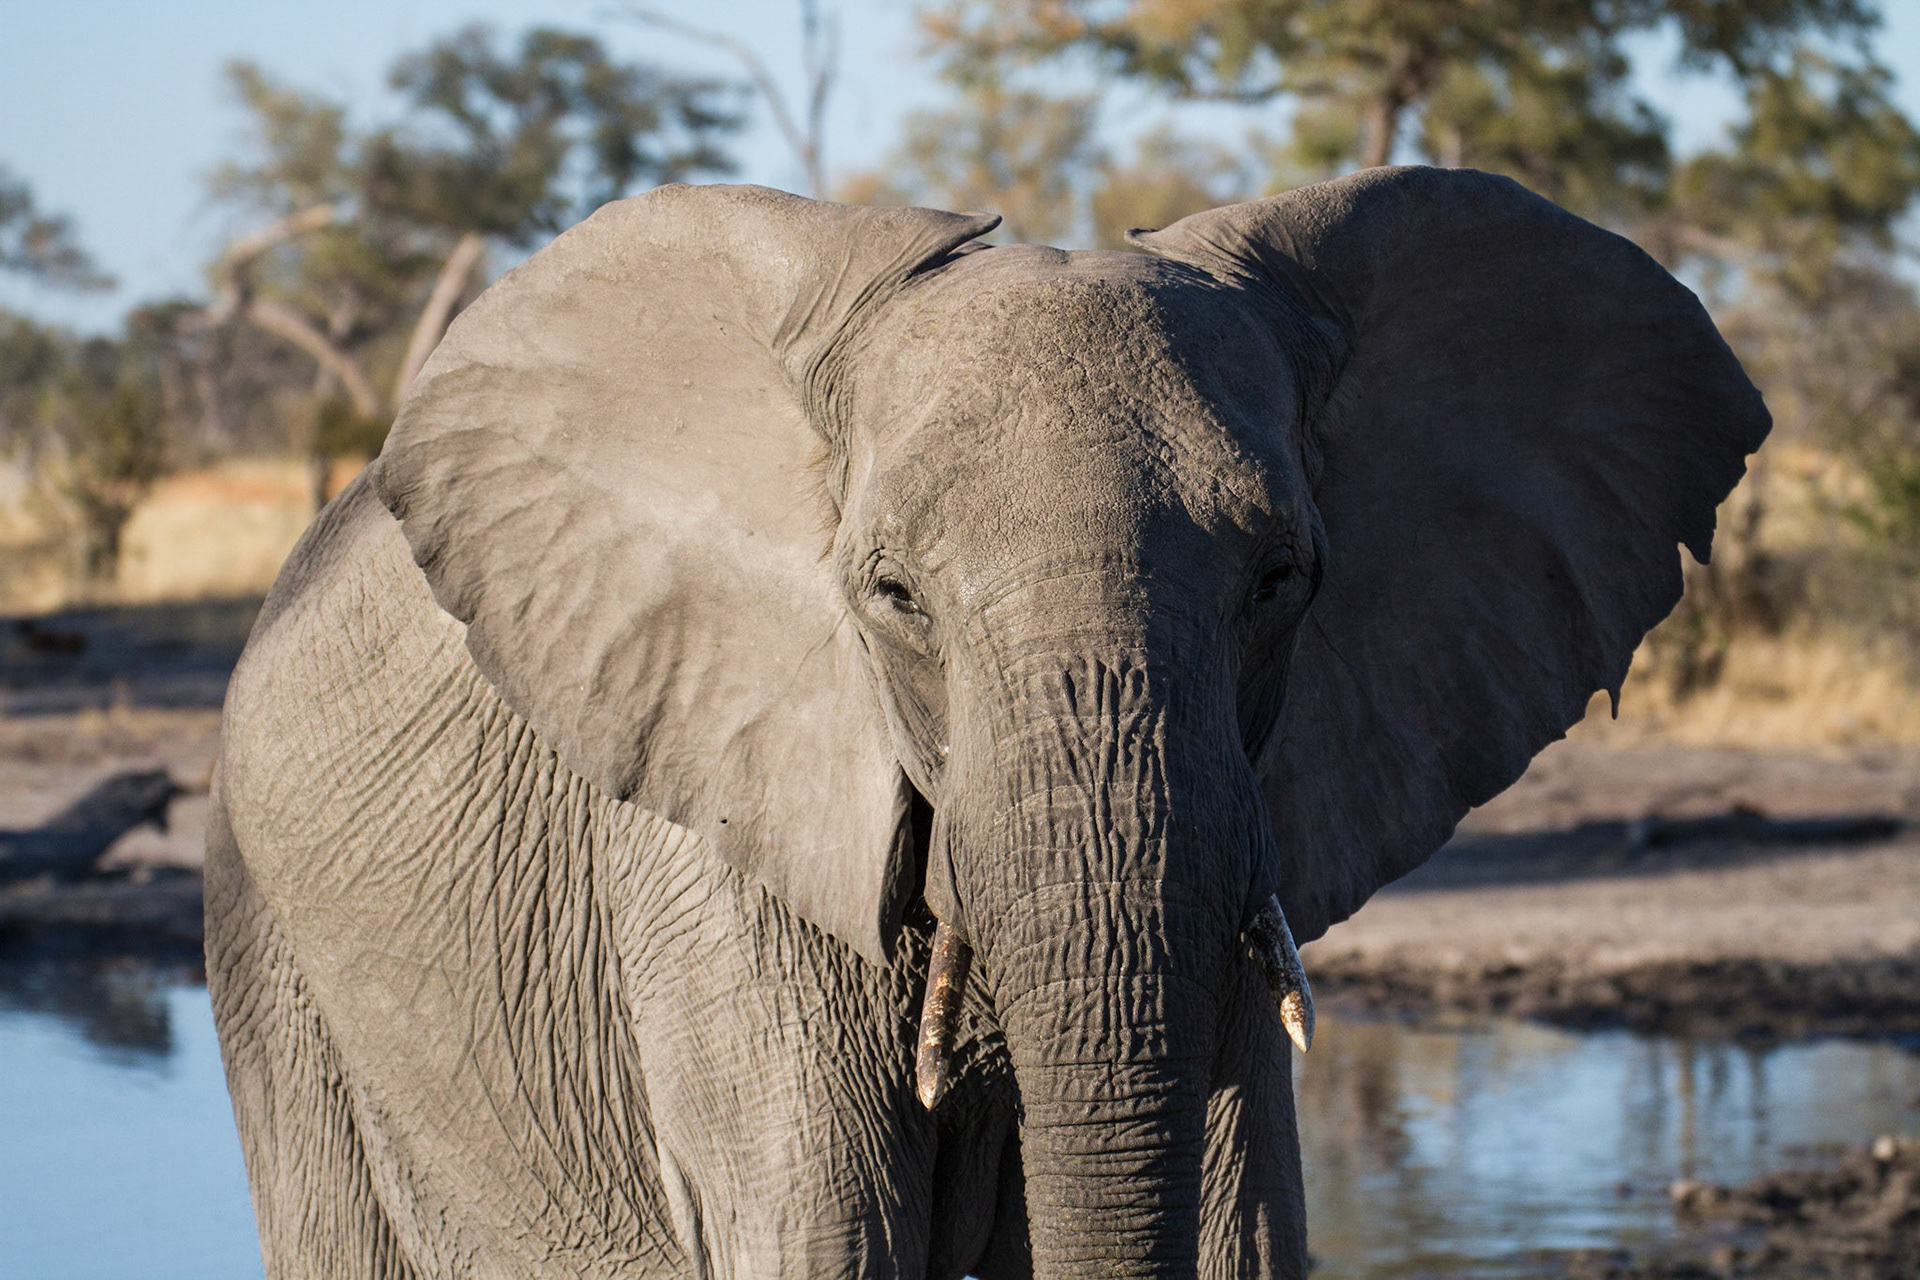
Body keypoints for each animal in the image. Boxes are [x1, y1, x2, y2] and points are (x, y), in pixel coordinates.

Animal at [206, 166, 1769, 1280]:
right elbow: (827, 1240)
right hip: (271, 956)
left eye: (1281, 579)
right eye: (890, 592)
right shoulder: (718, 841)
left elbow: (1240, 1225)